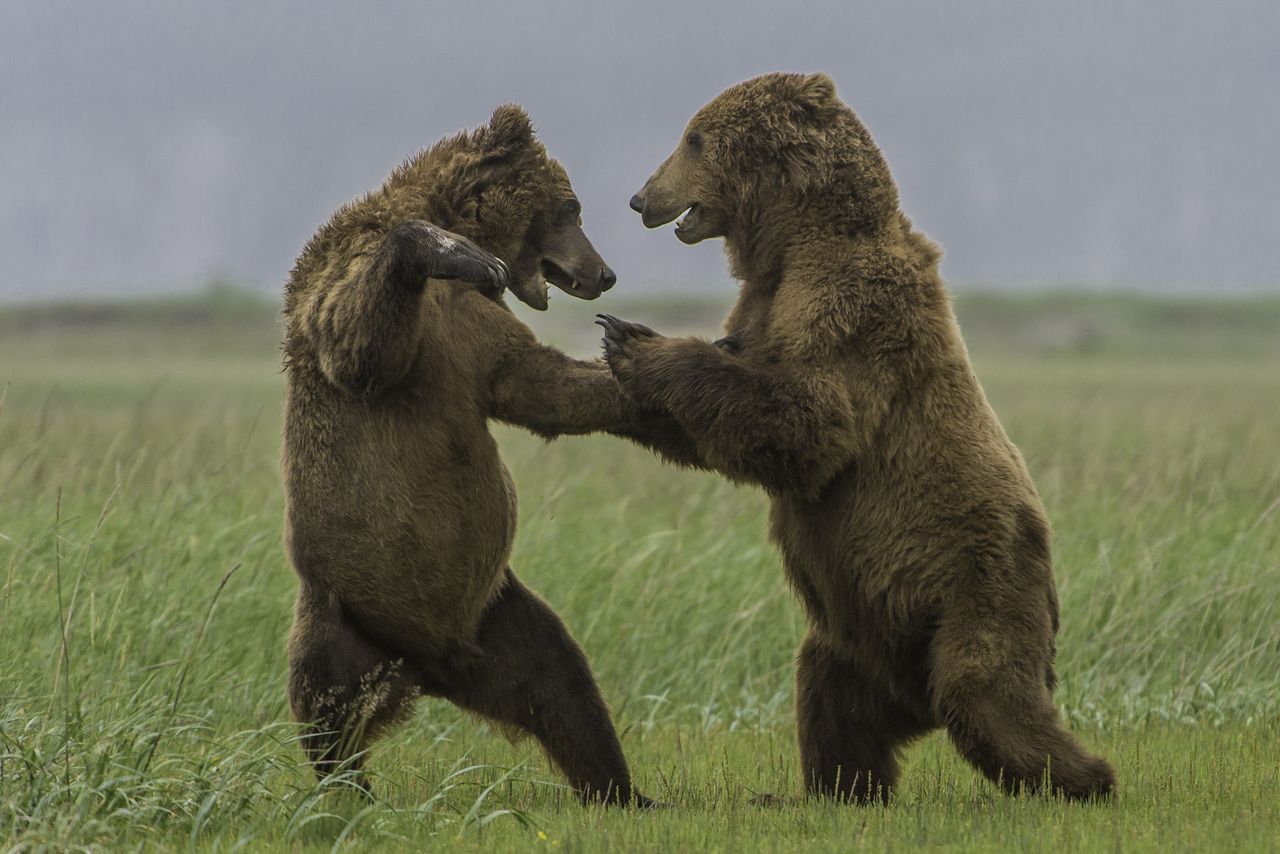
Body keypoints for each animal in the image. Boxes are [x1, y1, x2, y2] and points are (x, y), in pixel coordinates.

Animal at [281, 104, 653, 806]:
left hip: (496, 612)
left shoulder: (478, 334)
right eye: (571, 207)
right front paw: (451, 251)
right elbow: (355, 341)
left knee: (564, 684)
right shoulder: (360, 273)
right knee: (324, 703)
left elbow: (537, 384)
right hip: (343, 609)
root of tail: (428, 663)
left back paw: (627, 791)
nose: (606, 274)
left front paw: (635, 365)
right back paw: (349, 795)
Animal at [598, 72, 1115, 803]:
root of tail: (915, 699)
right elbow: (732, 425)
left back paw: (1086, 779)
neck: (792, 241)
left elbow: (810, 425)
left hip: (980, 587)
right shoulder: (763, 302)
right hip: (853, 636)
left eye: (692, 138)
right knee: (830, 700)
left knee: (989, 696)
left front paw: (637, 341)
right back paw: (827, 788)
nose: (642, 197)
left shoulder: (847, 303)